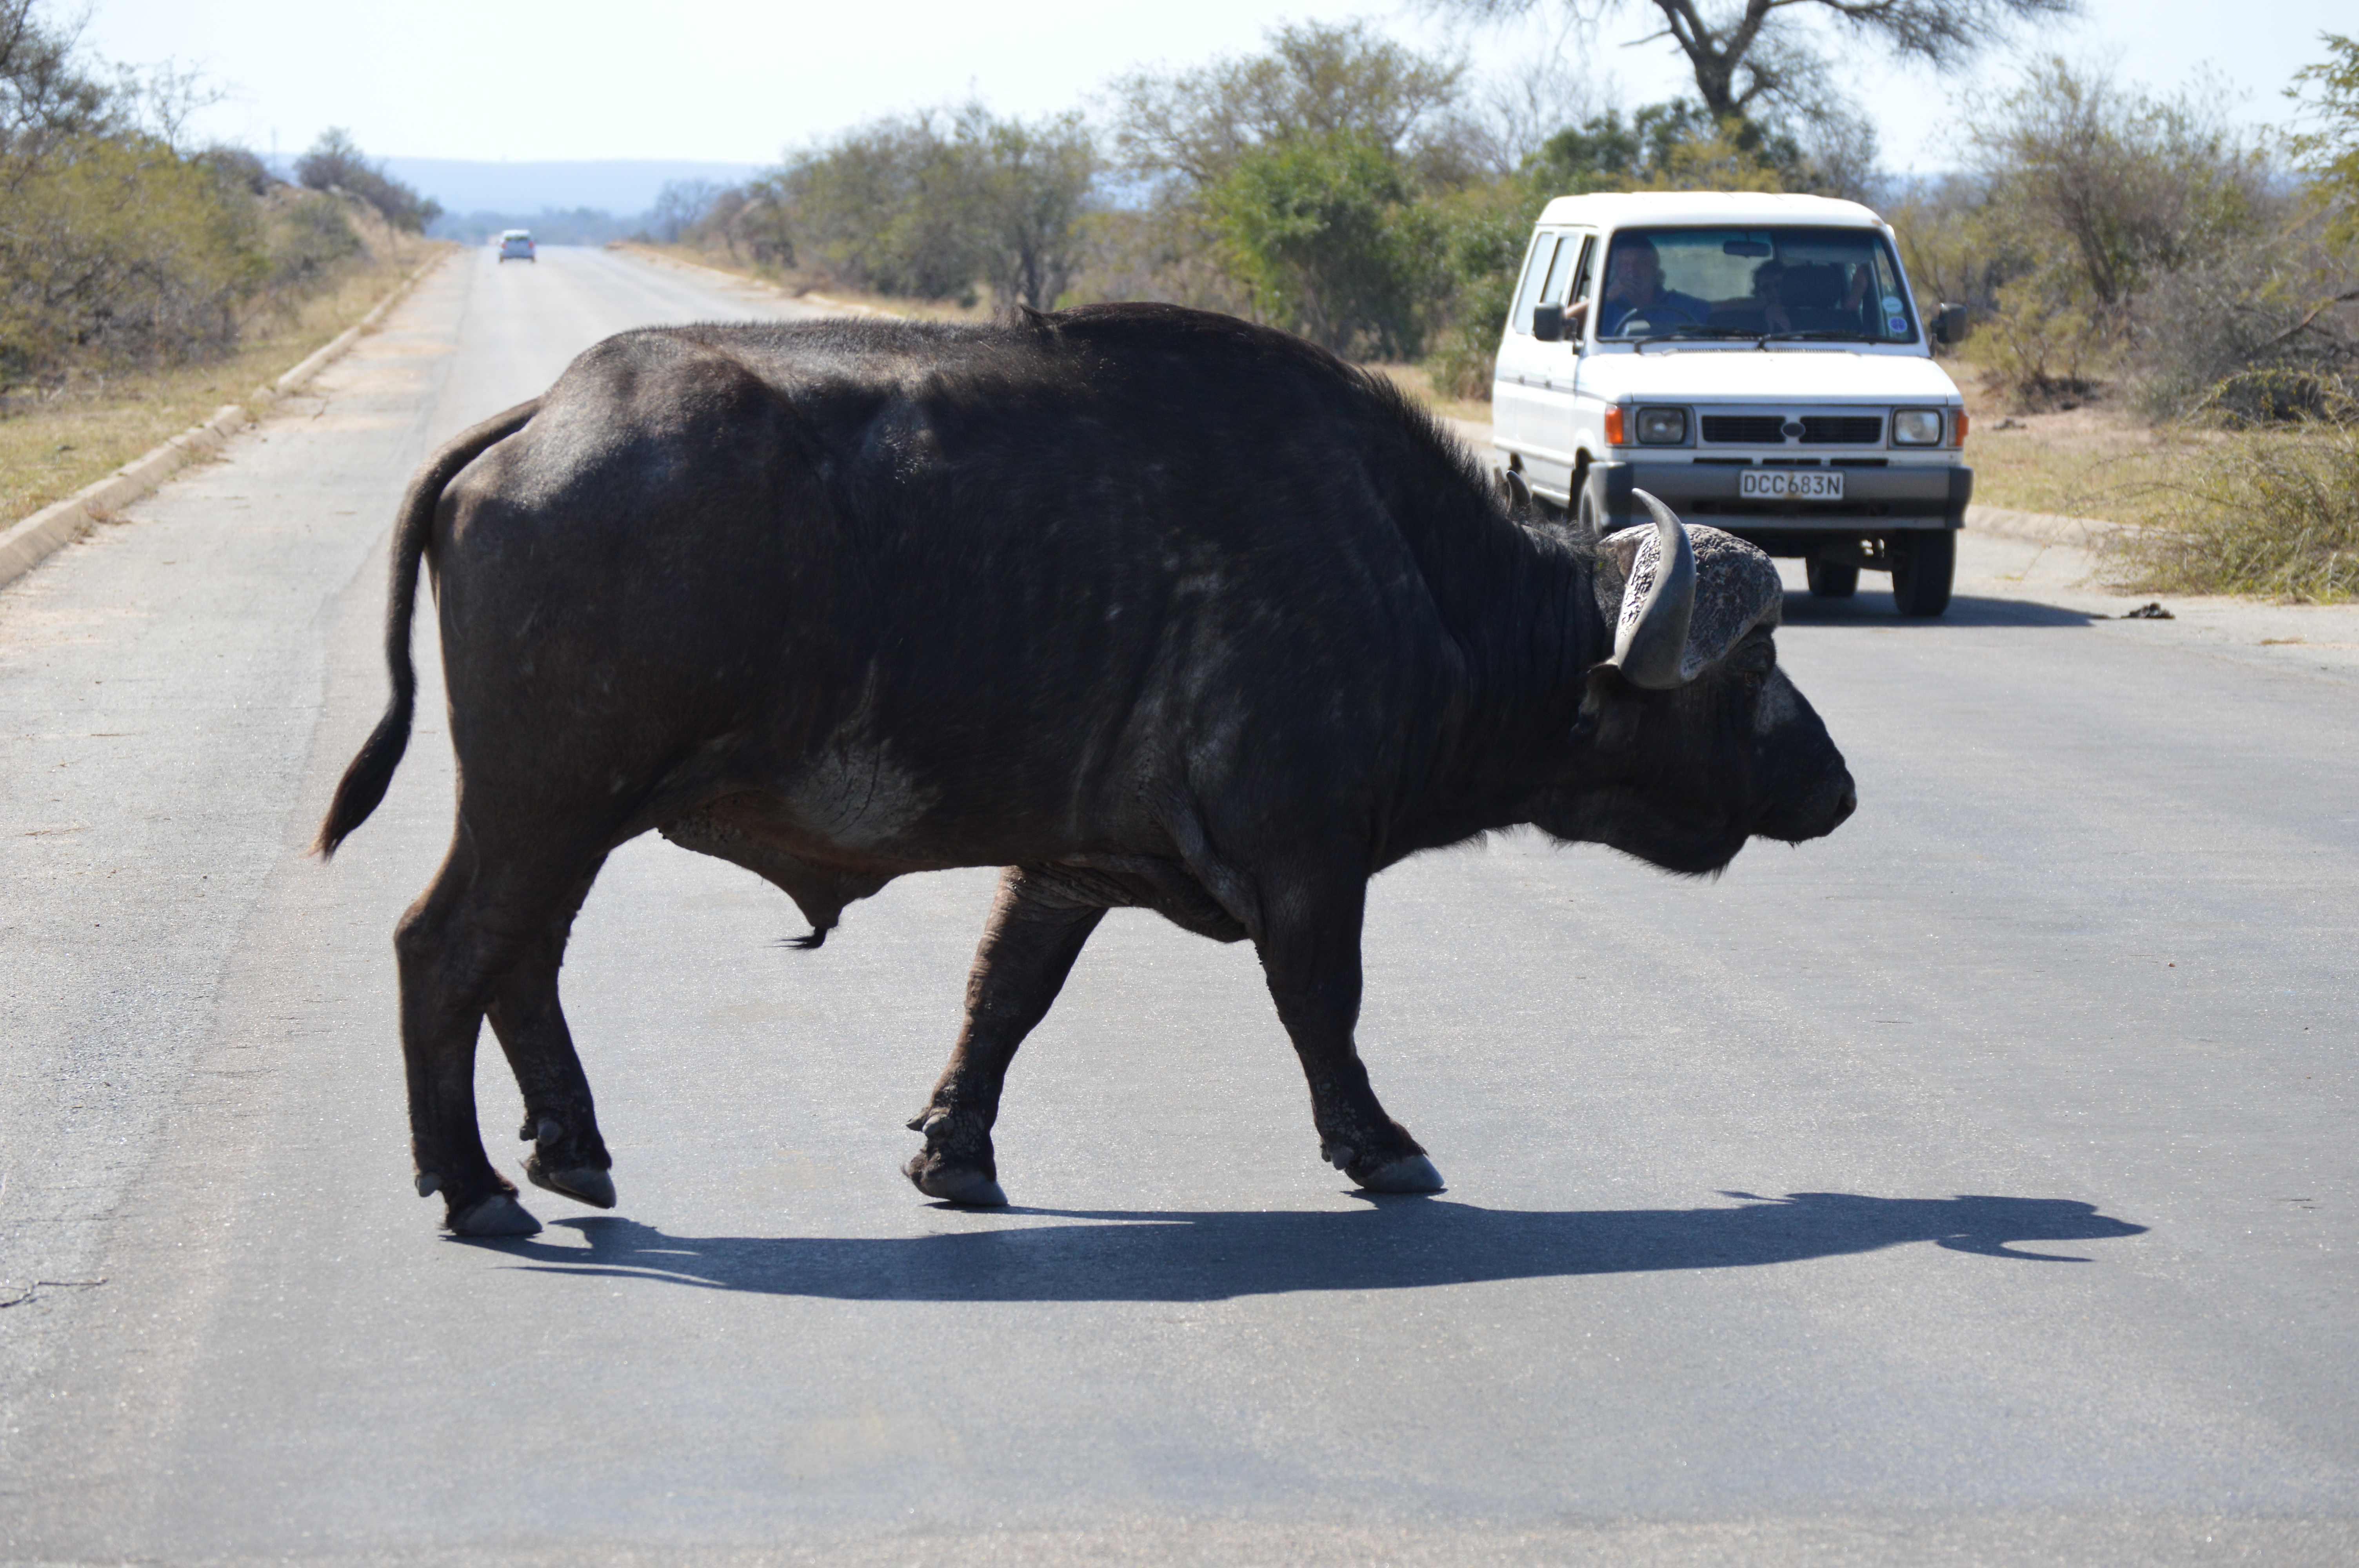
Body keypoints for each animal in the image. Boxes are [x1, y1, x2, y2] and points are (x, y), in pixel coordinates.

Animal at [318, 301, 1859, 1235]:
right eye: (1747, 669)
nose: (1838, 789)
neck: (1416, 585)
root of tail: (539, 421)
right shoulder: (1305, 864)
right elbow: (1323, 1012)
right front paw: (1377, 1144)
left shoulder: (1068, 865)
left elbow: (1004, 997)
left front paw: (954, 1152)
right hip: (550, 800)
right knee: (440, 949)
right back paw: (470, 1185)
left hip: (574, 814)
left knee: (519, 961)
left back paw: (566, 1146)